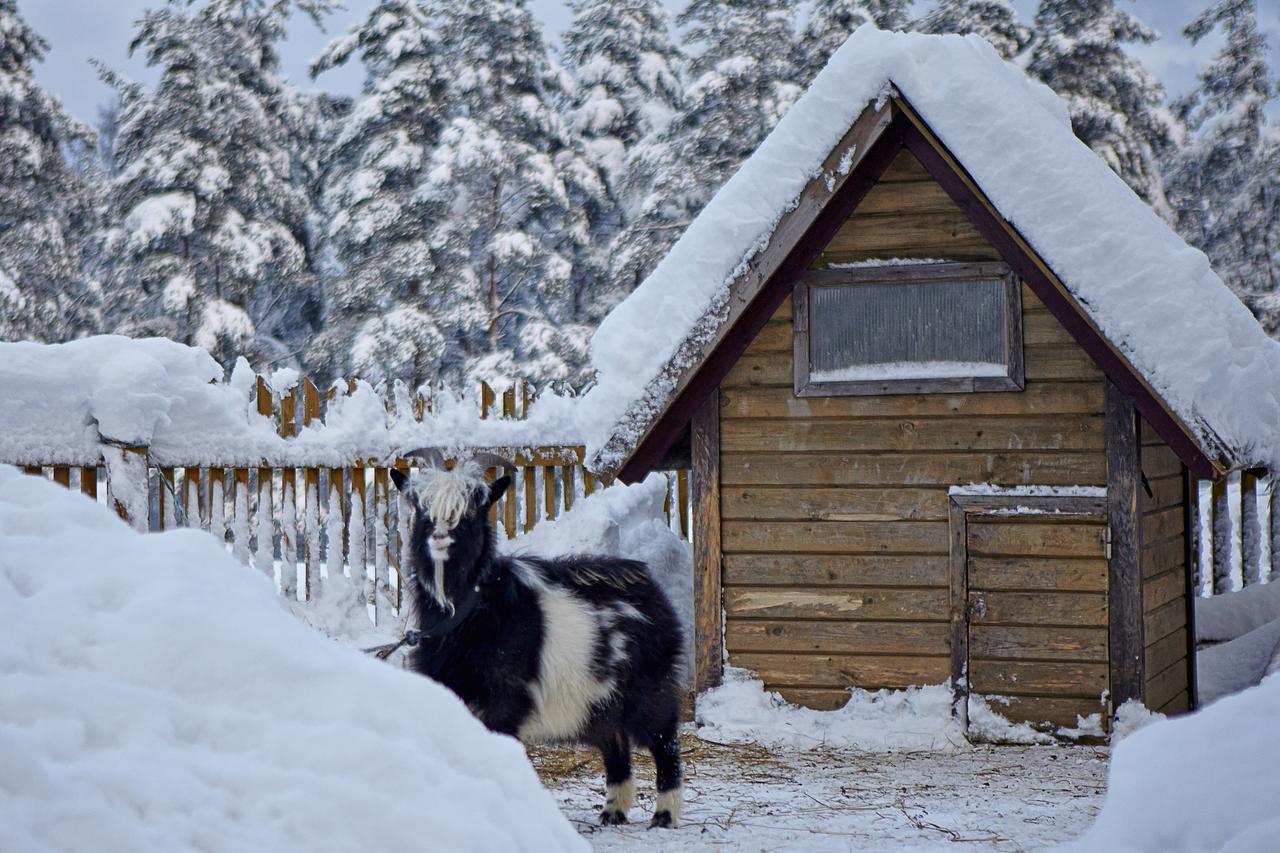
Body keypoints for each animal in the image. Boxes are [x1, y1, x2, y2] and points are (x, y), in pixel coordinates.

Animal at [389, 450, 686, 824]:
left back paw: (664, 814)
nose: (440, 537)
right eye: (420, 508)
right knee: (615, 743)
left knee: (664, 742)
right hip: (599, 699)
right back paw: (613, 812)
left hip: (651, 689)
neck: (470, 611)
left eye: (472, 510)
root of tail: (650, 586)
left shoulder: (506, 701)